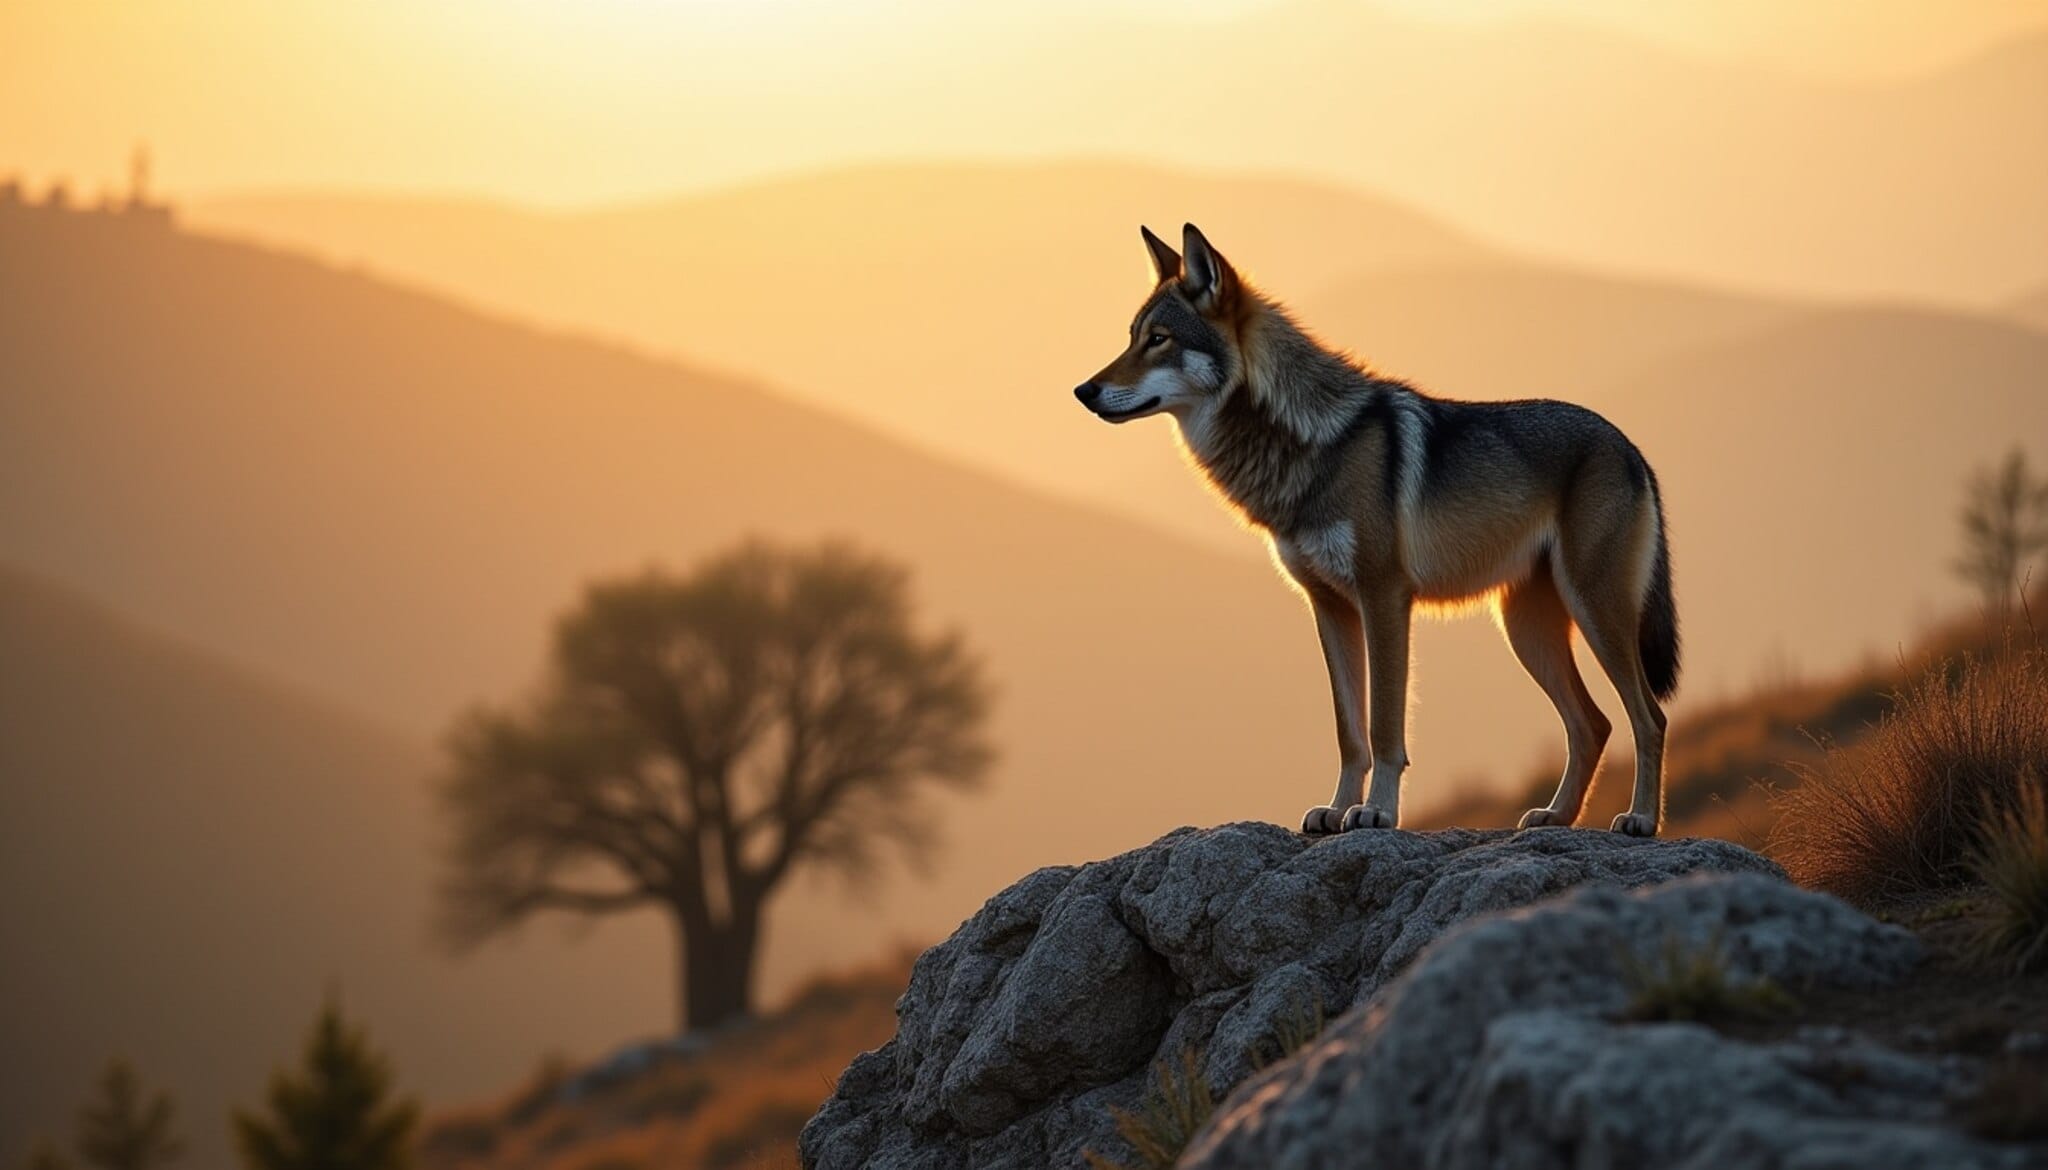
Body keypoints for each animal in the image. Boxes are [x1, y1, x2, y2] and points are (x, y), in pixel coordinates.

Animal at [1075, 224, 1679, 836]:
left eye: (1159, 339)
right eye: (1132, 338)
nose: (1084, 390)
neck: (1310, 445)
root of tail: (1631, 449)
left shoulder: (1385, 598)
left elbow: (1385, 726)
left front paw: (1377, 812)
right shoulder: (1328, 607)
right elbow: (1349, 732)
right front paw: (1337, 810)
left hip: (1593, 613)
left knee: (1648, 717)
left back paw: (1639, 820)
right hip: (1525, 630)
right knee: (1593, 723)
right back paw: (1556, 816)